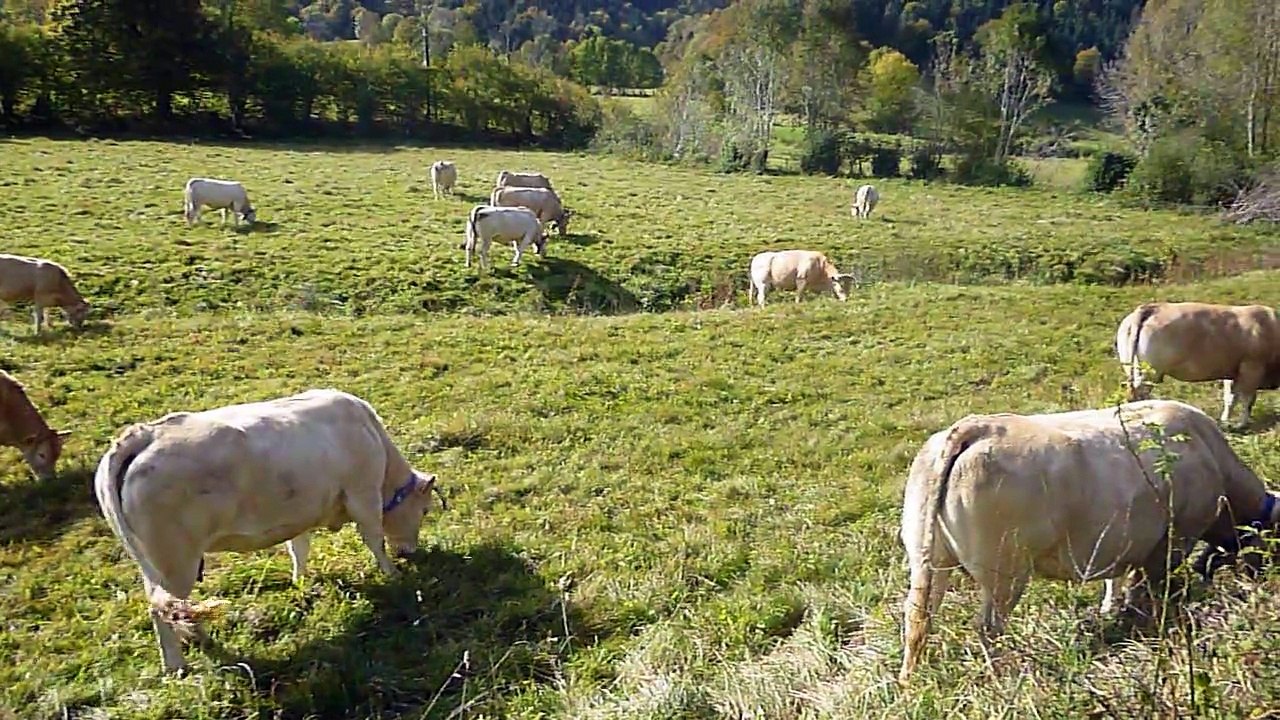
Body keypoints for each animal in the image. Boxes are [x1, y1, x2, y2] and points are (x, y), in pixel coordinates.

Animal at [92, 388, 446, 673]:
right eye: (424, 510)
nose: (411, 552)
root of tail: (144, 434)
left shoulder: (301, 513)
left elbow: (299, 548)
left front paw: (301, 582)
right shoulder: (363, 495)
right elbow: (374, 539)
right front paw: (393, 574)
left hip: (156, 564)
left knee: (175, 607)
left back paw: (200, 638)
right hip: (175, 560)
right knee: (161, 609)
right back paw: (177, 665)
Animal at [897, 399, 1280, 683]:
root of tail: (976, 426)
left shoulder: (1123, 541)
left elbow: (1117, 579)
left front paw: (1112, 608)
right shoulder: (1173, 540)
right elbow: (1150, 589)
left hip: (928, 558)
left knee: (918, 618)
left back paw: (909, 679)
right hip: (1005, 568)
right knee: (988, 627)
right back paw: (1001, 677)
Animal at [1116, 301, 1280, 428]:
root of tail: (1152, 307)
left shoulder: (1233, 373)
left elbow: (1230, 398)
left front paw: (1225, 421)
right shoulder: (1252, 367)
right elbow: (1247, 399)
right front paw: (1242, 424)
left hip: (1131, 368)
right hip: (1150, 373)